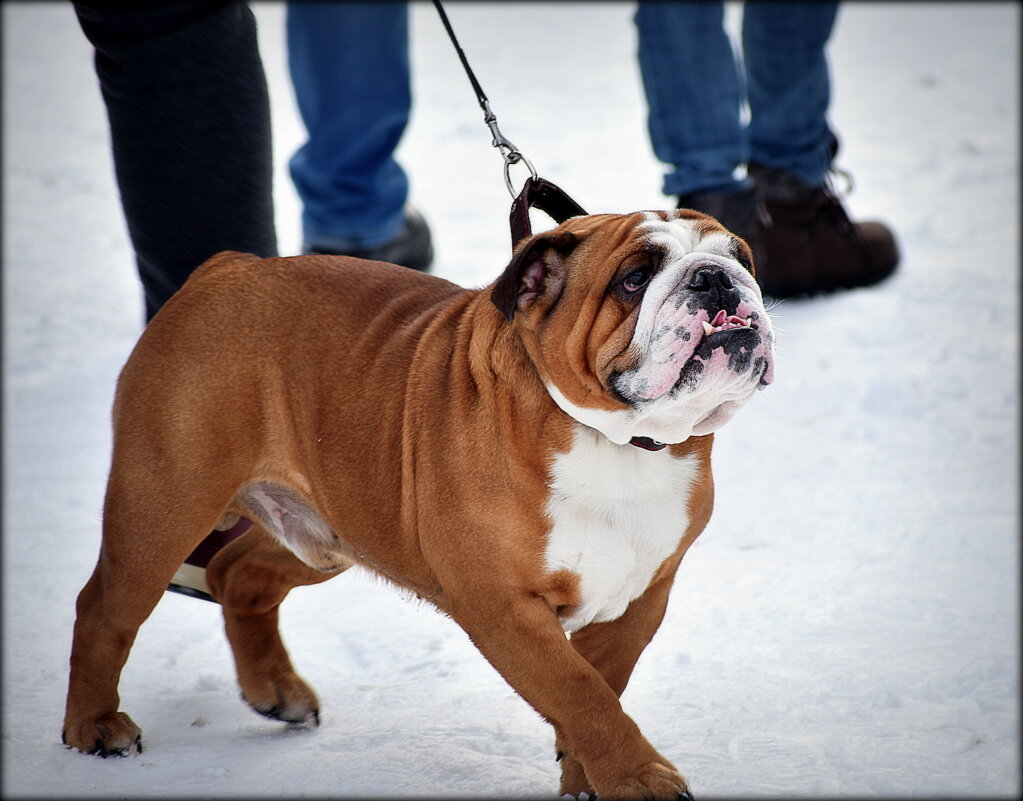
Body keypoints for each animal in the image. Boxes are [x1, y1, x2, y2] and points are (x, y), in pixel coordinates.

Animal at [63, 209, 773, 797]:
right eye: (635, 278)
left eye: (740, 256)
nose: (715, 278)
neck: (617, 442)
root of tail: (224, 270)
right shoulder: (504, 607)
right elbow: (583, 695)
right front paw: (640, 778)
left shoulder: (640, 596)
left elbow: (604, 688)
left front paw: (586, 782)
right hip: (164, 505)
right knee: (104, 610)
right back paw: (95, 728)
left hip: (332, 531)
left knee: (237, 573)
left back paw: (276, 692)